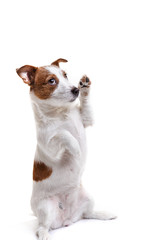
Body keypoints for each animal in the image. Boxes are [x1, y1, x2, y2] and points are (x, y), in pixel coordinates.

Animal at [16, 59, 116, 240]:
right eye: (51, 81)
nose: (76, 89)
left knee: (87, 214)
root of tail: (66, 220)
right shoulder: (49, 145)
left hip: (88, 198)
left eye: (65, 75)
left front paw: (85, 87)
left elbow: (85, 107)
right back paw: (44, 234)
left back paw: (104, 214)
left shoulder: (87, 119)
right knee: (42, 226)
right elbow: (63, 134)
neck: (61, 112)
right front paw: (76, 149)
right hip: (46, 208)